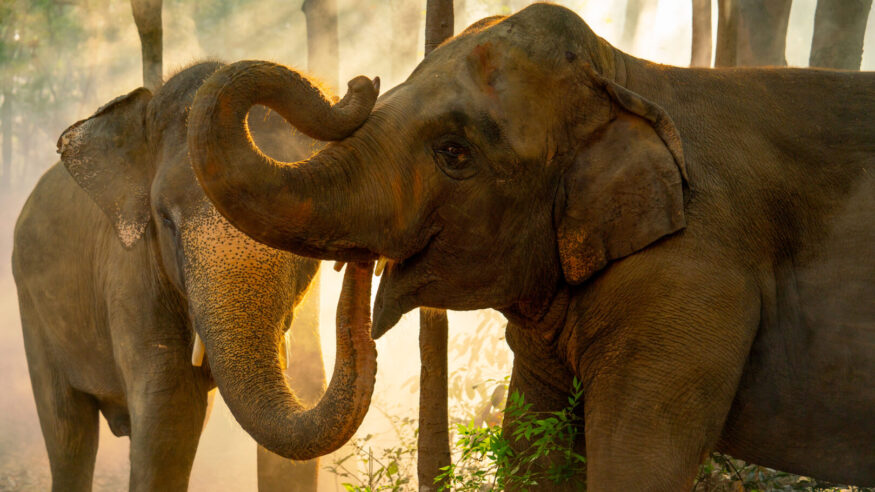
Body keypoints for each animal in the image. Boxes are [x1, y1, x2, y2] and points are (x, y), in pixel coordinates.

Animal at [11, 61, 378, 491]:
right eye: (165, 219)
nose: (363, 81)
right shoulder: (132, 276)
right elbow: (170, 411)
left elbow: (304, 386)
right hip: (31, 307)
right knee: (68, 432)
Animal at [186, 3, 875, 490]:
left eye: (455, 153)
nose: (360, 82)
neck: (626, 77)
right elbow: (532, 457)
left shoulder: (690, 279)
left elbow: (637, 465)